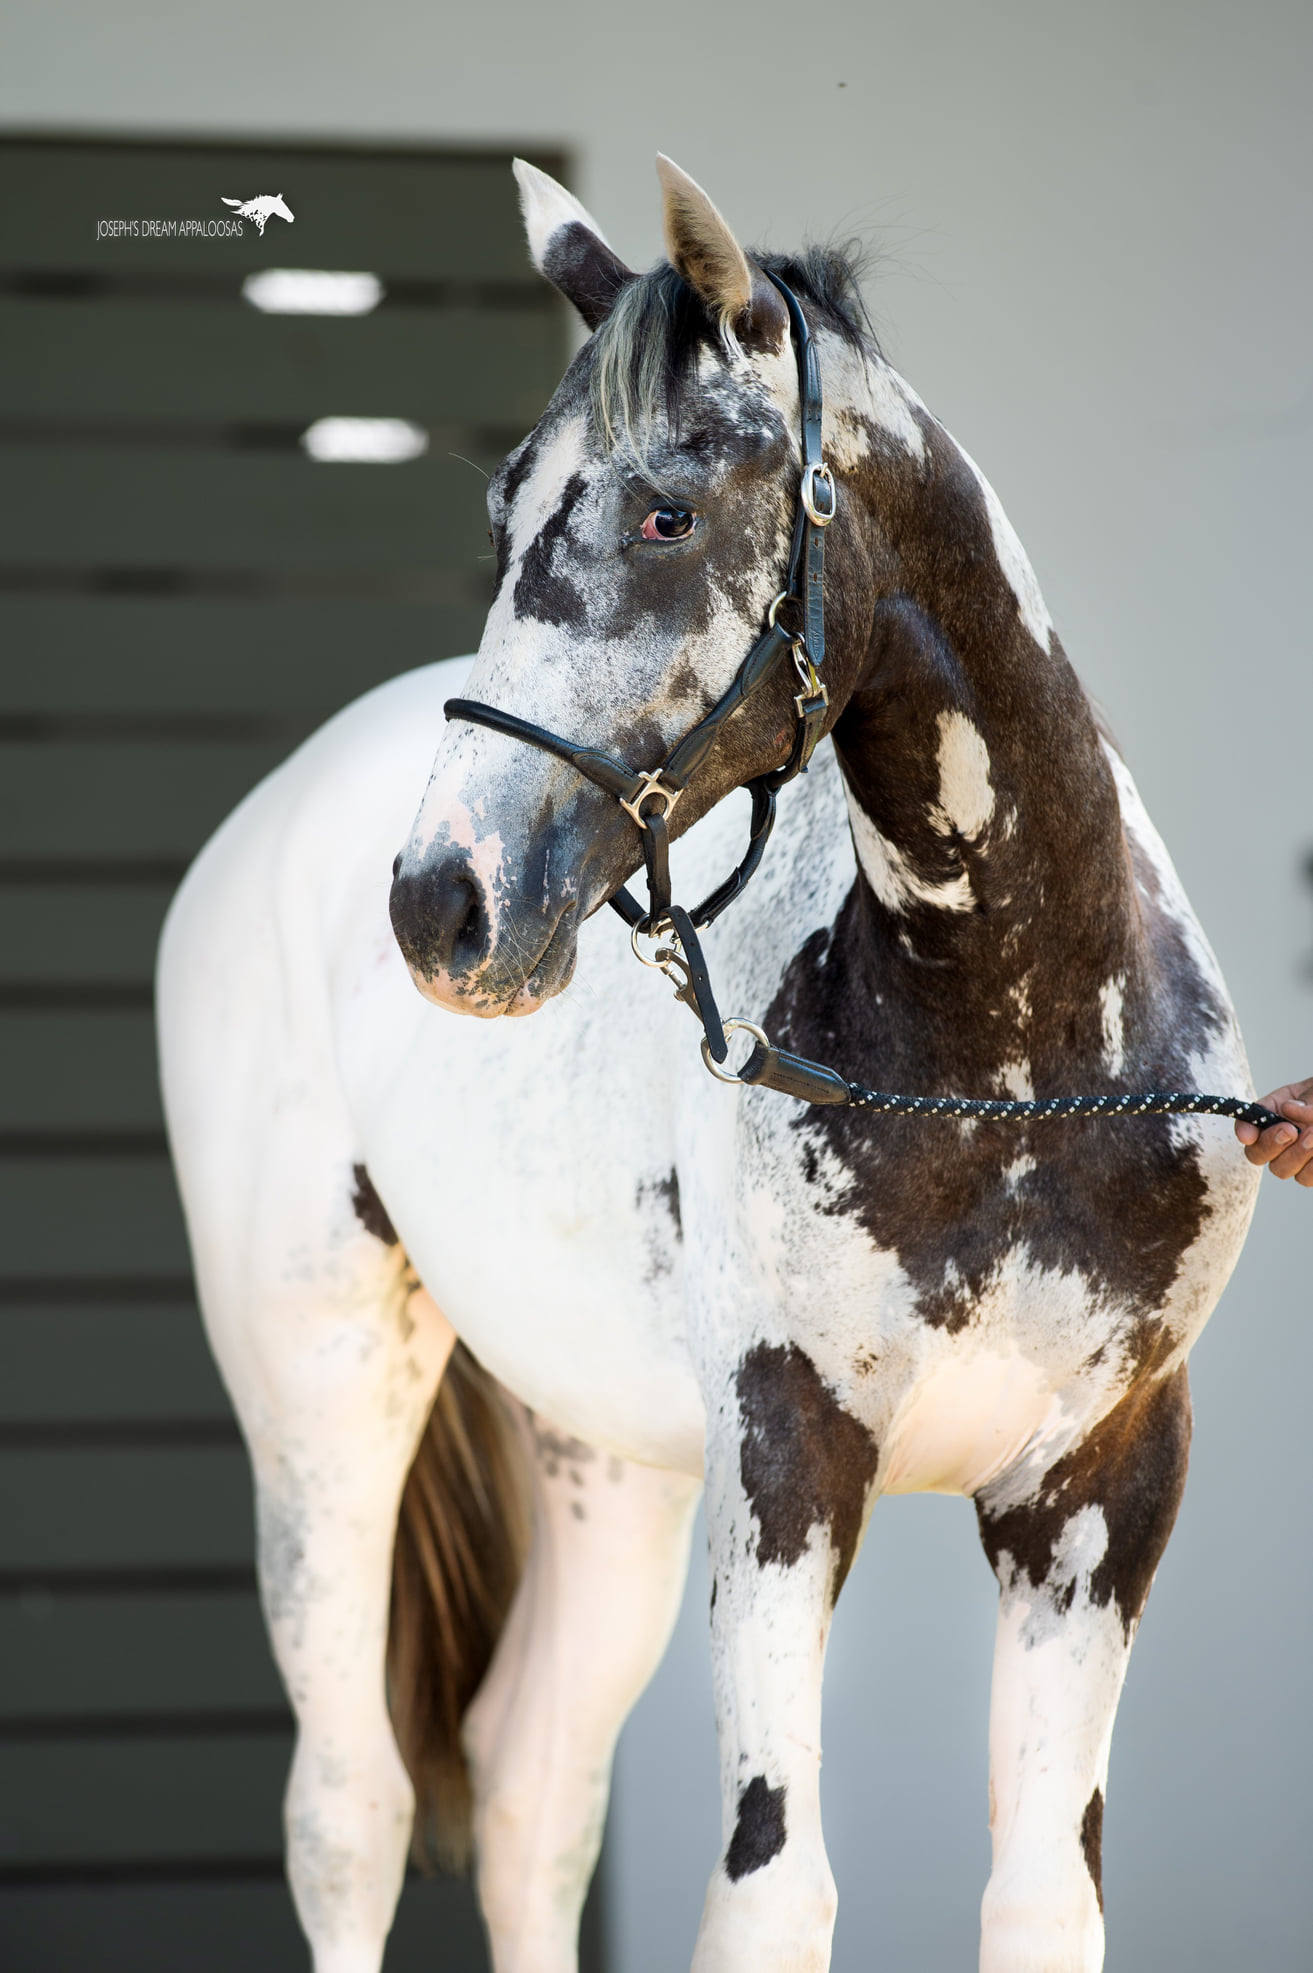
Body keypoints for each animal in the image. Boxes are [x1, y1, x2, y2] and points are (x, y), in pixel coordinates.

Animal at [160, 157, 1263, 1973]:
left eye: (667, 513)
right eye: (502, 518)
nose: (441, 900)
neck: (1008, 1065)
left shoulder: (1100, 1483)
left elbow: (1041, 1893)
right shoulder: (785, 1453)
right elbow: (771, 1886)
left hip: (598, 1455)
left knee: (530, 1791)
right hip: (321, 1390)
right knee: (353, 1811)